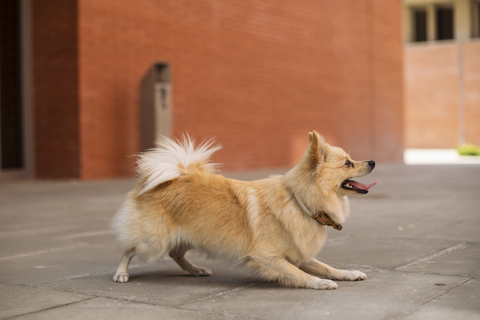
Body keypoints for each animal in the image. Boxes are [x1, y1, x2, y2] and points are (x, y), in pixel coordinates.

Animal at [111, 132, 376, 290]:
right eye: (348, 163)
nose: (372, 162)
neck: (299, 201)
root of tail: (167, 177)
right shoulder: (268, 257)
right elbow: (298, 274)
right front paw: (319, 282)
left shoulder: (299, 254)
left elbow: (327, 266)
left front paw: (347, 273)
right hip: (153, 242)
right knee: (128, 250)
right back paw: (121, 273)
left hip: (189, 236)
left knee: (176, 253)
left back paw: (196, 270)